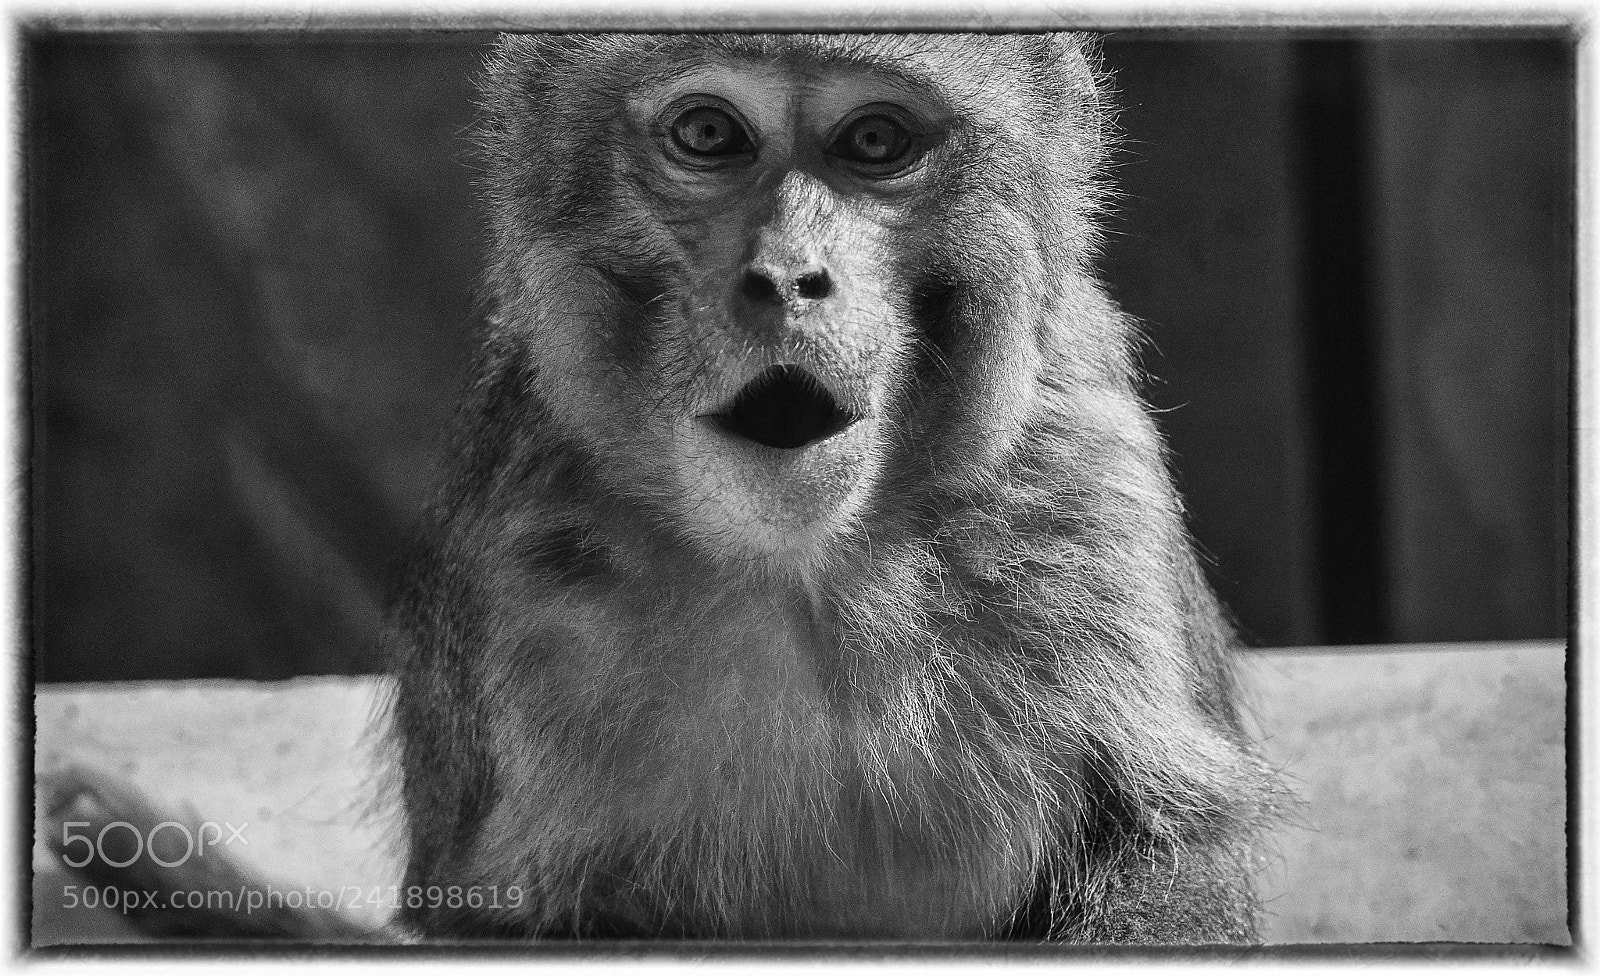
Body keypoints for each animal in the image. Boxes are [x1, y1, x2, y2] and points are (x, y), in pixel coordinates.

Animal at [39, 31, 1280, 944]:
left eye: (875, 140)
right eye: (709, 135)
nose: (788, 278)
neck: (804, 562)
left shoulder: (1075, 470)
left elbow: (1162, 854)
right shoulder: (519, 535)